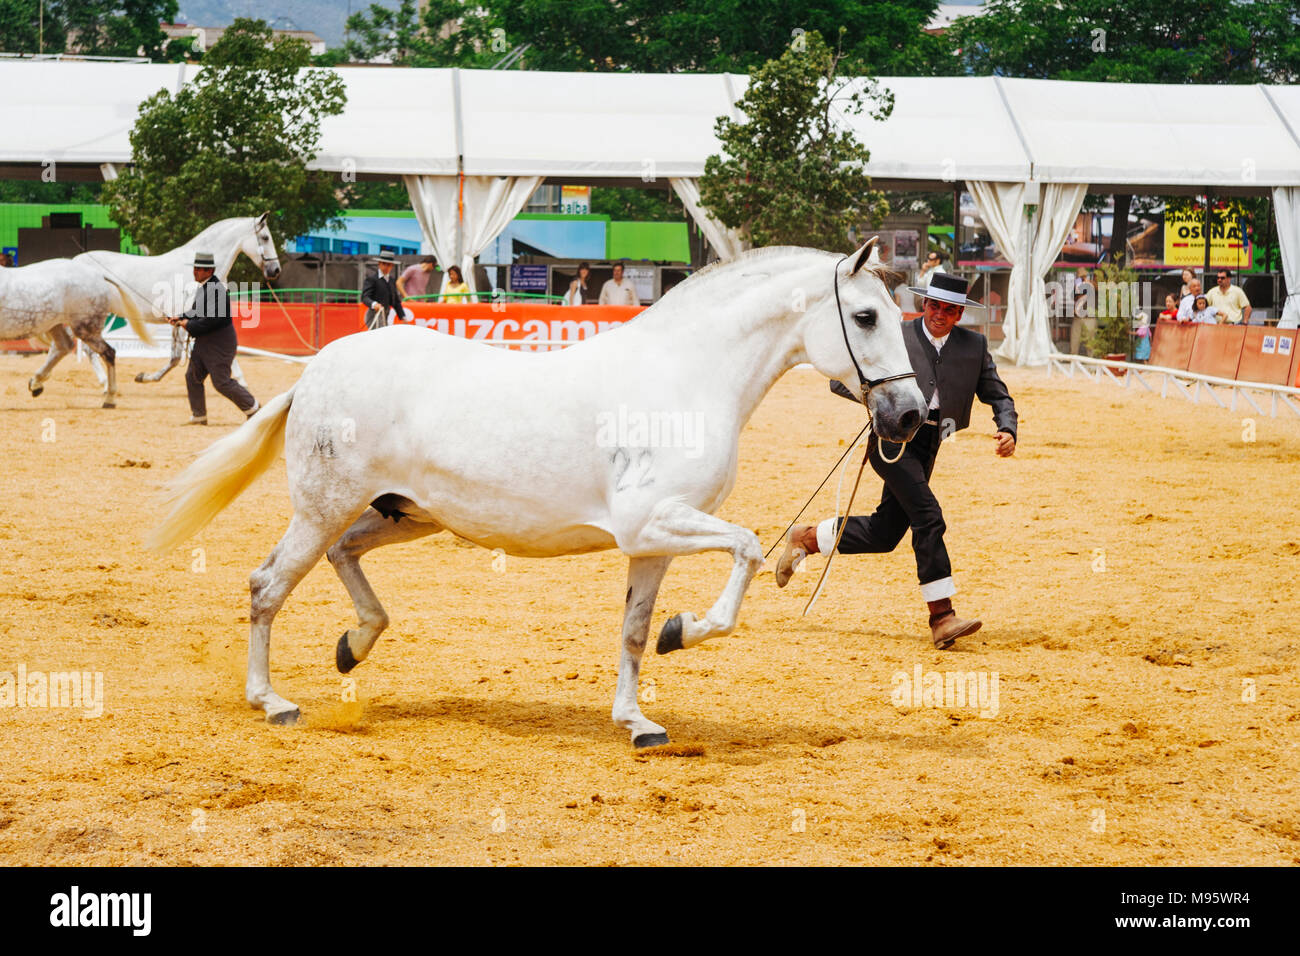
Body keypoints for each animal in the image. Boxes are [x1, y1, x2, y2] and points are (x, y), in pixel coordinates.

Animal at [1, 259, 153, 408]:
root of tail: (99, 275)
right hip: (56, 325)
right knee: (64, 346)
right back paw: (36, 384)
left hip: (85, 329)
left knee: (108, 352)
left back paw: (109, 399)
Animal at [73, 214, 282, 386]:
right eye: (265, 238)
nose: (275, 270)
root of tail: (74, 262)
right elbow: (176, 358)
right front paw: (145, 377)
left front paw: (242, 382)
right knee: (88, 348)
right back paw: (104, 383)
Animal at [146, 240, 928, 746]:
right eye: (866, 317)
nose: (910, 416)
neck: (686, 376)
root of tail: (317, 371)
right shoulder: (653, 522)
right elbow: (747, 553)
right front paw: (686, 632)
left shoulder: (652, 543)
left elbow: (634, 630)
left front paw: (638, 721)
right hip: (322, 508)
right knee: (268, 585)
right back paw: (272, 701)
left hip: (407, 514)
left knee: (344, 557)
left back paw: (353, 645)